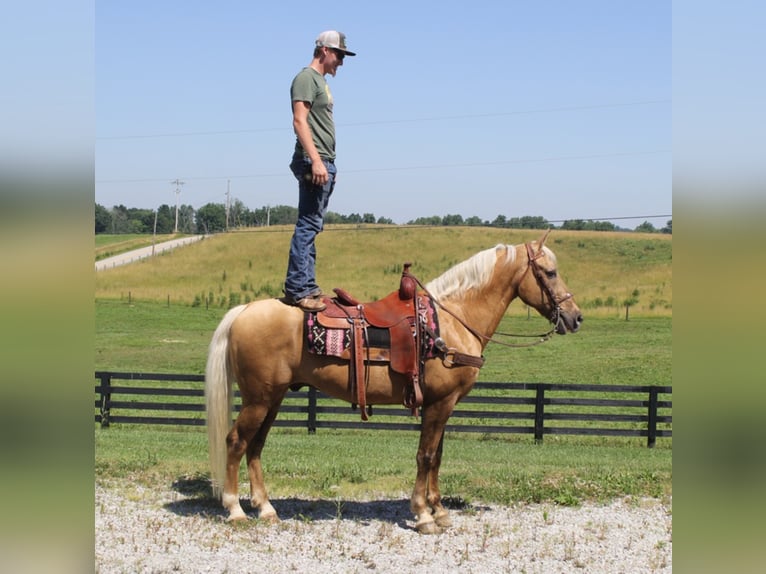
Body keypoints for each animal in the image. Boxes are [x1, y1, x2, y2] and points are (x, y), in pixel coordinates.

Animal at [204, 232, 584, 536]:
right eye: (550, 272)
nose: (576, 317)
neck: (452, 320)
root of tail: (244, 310)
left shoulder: (441, 403)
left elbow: (437, 457)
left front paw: (439, 510)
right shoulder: (440, 403)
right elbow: (425, 455)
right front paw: (423, 515)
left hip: (273, 398)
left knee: (255, 446)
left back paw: (266, 509)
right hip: (259, 399)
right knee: (236, 442)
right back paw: (235, 510)